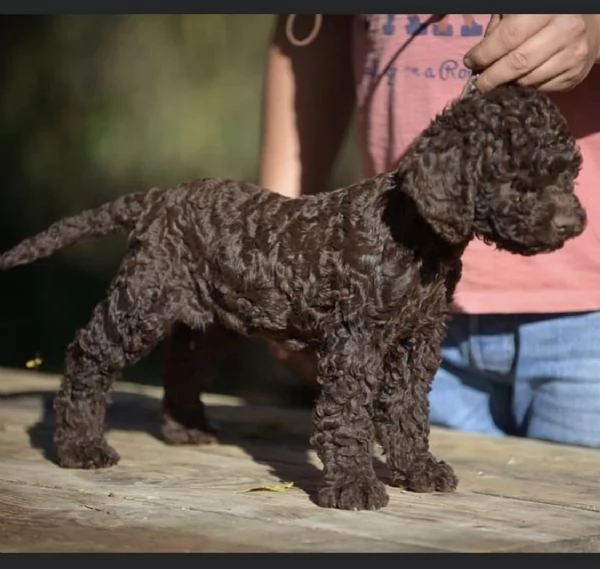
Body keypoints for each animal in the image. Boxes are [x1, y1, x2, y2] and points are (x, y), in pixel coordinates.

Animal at [0, 84, 584, 510]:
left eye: (568, 172)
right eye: (518, 178)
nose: (575, 224)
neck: (414, 234)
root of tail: (160, 198)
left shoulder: (416, 342)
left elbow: (407, 411)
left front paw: (416, 469)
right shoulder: (356, 343)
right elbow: (348, 416)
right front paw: (353, 487)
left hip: (212, 318)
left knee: (182, 365)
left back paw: (186, 430)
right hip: (142, 299)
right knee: (88, 357)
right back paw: (80, 447)